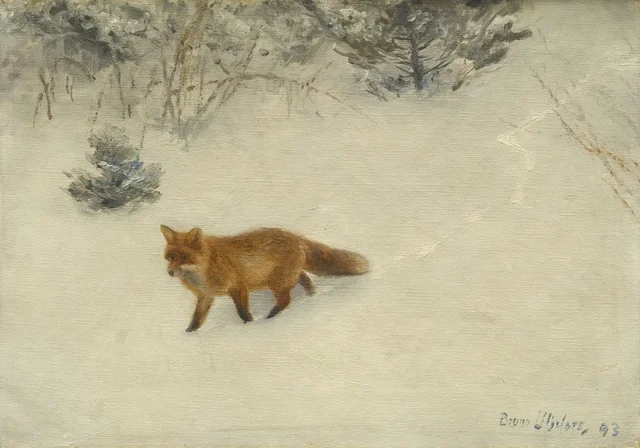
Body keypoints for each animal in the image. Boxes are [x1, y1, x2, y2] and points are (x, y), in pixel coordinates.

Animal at [160, 225, 369, 332]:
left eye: (183, 257)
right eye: (170, 257)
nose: (170, 272)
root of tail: (294, 236)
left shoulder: (238, 287)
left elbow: (243, 313)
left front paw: (250, 327)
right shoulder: (205, 296)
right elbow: (196, 320)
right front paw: (188, 335)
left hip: (277, 283)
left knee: (286, 300)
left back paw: (270, 318)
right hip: (286, 277)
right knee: (305, 279)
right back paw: (311, 297)